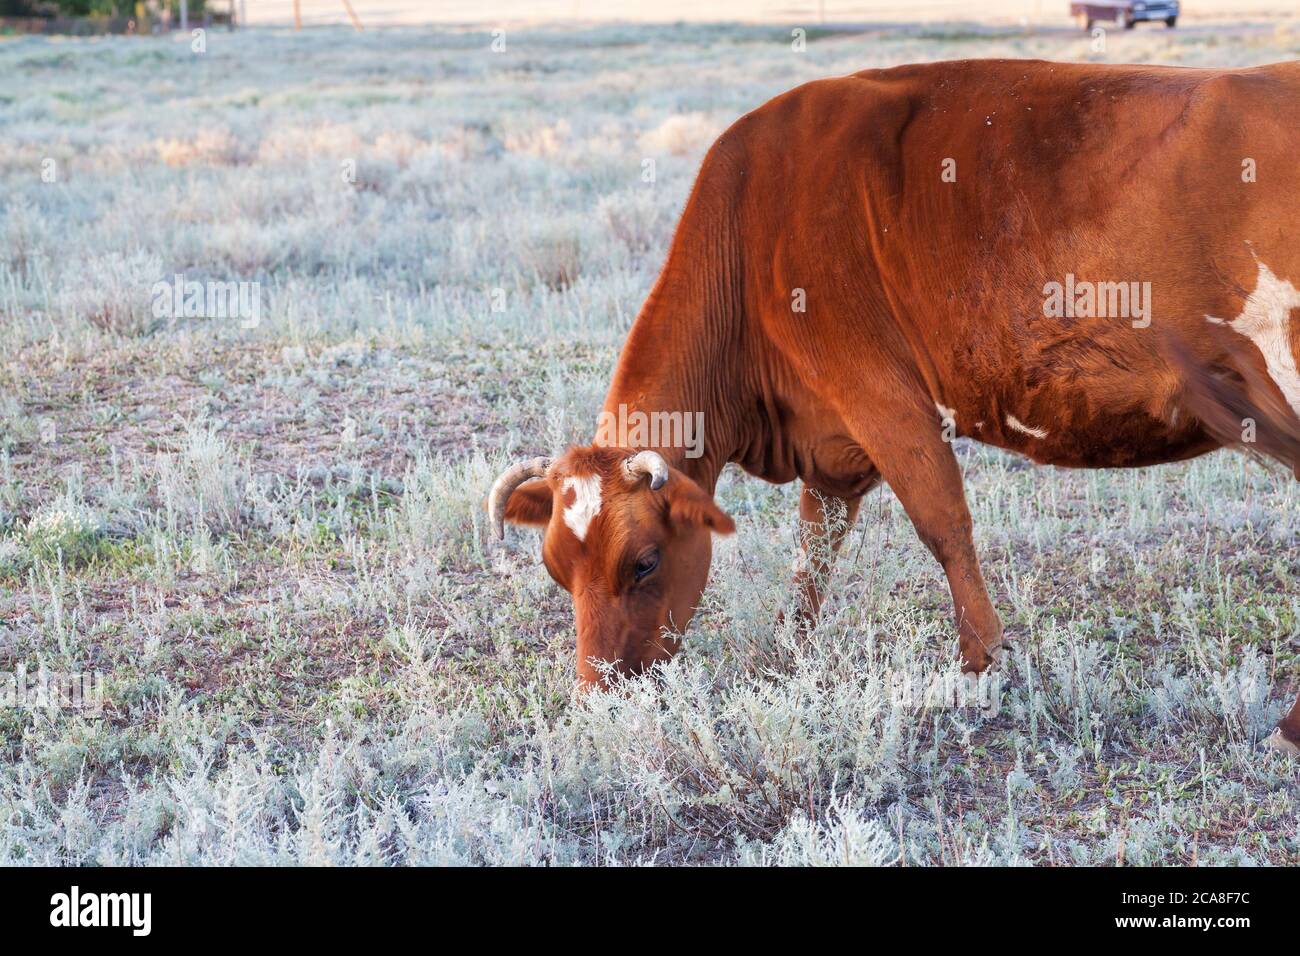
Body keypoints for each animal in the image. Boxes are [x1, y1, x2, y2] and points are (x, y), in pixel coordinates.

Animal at [488, 59, 1300, 759]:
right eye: (557, 569)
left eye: (646, 561)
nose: (598, 701)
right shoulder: (831, 450)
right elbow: (812, 560)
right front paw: (785, 662)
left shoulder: (885, 400)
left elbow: (943, 524)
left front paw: (983, 668)